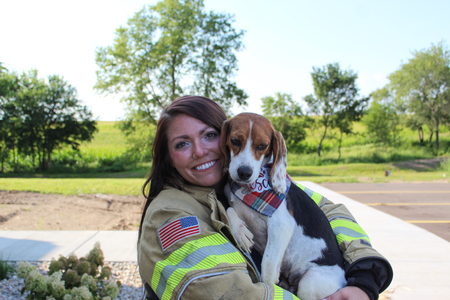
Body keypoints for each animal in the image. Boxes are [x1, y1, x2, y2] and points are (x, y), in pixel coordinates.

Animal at [220, 113, 346, 300]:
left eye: (263, 146)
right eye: (235, 140)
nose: (244, 173)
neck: (248, 189)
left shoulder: (281, 226)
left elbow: (268, 265)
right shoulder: (234, 204)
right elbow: (229, 210)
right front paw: (241, 233)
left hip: (310, 282)